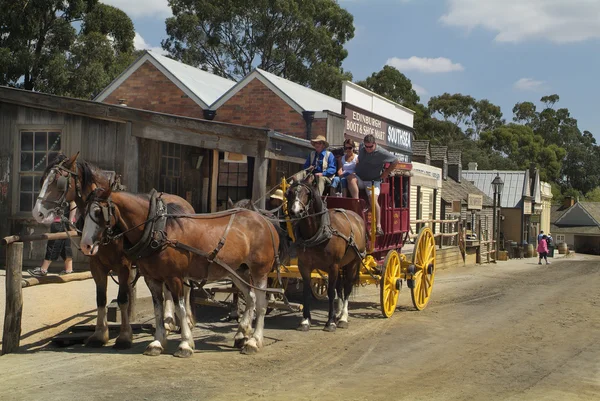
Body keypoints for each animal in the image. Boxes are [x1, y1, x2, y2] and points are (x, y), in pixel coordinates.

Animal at [32, 153, 195, 346]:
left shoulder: (123, 266)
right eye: (42, 180)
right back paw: (169, 321)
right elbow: (100, 299)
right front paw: (100, 334)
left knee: (185, 288)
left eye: (59, 182)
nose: (37, 213)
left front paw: (124, 336)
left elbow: (123, 299)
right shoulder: (96, 265)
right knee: (167, 289)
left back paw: (187, 321)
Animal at [79, 186, 282, 354]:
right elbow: (158, 309)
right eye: (83, 212)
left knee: (262, 303)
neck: (157, 230)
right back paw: (242, 334)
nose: (85, 245)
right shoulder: (152, 278)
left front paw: (185, 344)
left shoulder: (174, 277)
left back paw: (254, 341)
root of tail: (264, 220)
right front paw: (157, 342)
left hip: (259, 271)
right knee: (250, 297)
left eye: (98, 212)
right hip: (238, 271)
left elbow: (180, 308)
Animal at [286, 181, 366, 332]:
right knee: (340, 286)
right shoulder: (304, 266)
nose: (296, 211)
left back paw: (343, 317)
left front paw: (330, 322)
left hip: (353, 262)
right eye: (291, 193)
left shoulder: (333, 266)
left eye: (307, 193)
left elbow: (330, 292)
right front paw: (305, 320)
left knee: (347, 287)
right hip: (342, 264)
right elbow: (306, 291)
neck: (318, 232)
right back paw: (339, 313)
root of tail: (358, 218)